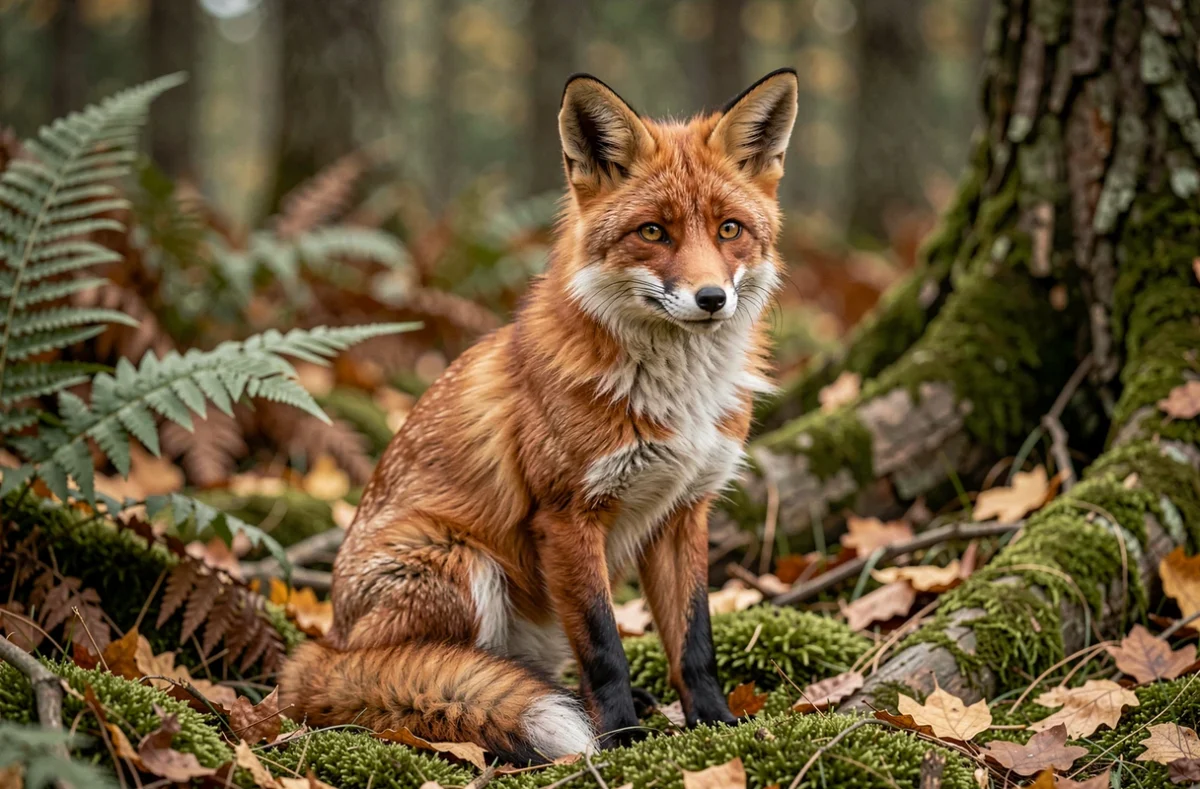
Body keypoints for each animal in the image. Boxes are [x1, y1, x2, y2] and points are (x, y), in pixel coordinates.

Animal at [279, 68, 799, 764]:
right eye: (653, 232)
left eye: (730, 229)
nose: (711, 298)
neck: (676, 394)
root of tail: (325, 643)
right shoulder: (566, 513)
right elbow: (605, 646)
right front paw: (620, 740)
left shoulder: (685, 511)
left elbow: (695, 642)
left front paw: (714, 726)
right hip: (461, 567)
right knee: (418, 670)